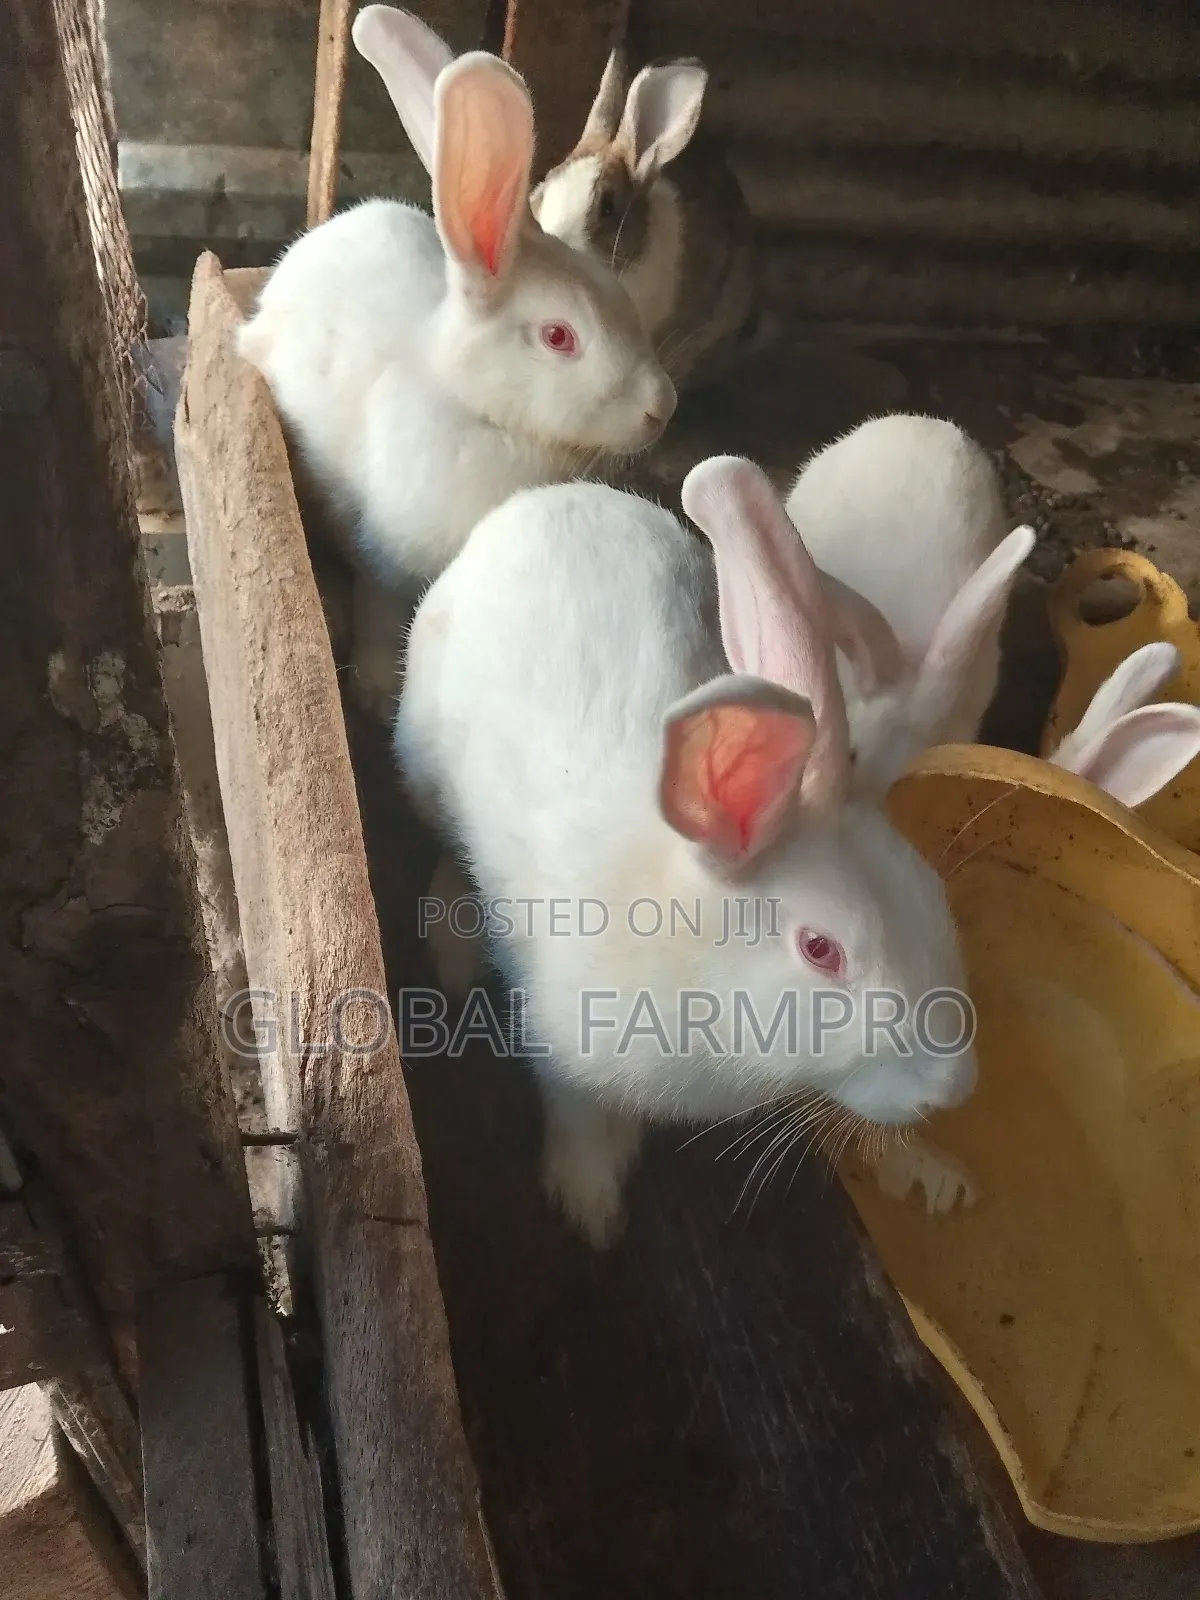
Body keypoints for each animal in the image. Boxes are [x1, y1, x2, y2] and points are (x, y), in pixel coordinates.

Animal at [237, 5, 676, 721]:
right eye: (559, 337)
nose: (661, 407)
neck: (479, 411)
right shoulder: (384, 569)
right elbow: (382, 619)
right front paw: (373, 693)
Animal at [394, 455, 980, 1248]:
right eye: (821, 949)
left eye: (931, 894)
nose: (952, 1086)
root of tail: (545, 499)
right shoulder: (568, 1056)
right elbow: (580, 1122)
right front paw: (593, 1209)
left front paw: (931, 1172)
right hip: (424, 766)